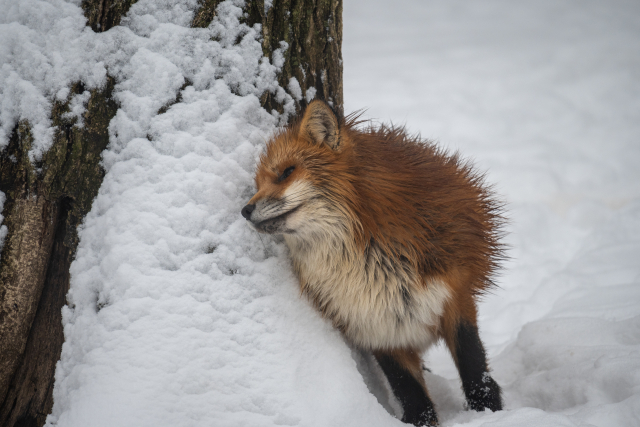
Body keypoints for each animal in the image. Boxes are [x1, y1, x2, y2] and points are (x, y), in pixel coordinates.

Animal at [240, 100, 504, 424]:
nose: (245, 210)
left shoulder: (455, 295)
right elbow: (410, 392)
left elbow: (474, 368)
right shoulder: (372, 322)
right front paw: (421, 421)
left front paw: (488, 411)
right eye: (257, 183)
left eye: (287, 172)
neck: (371, 263)